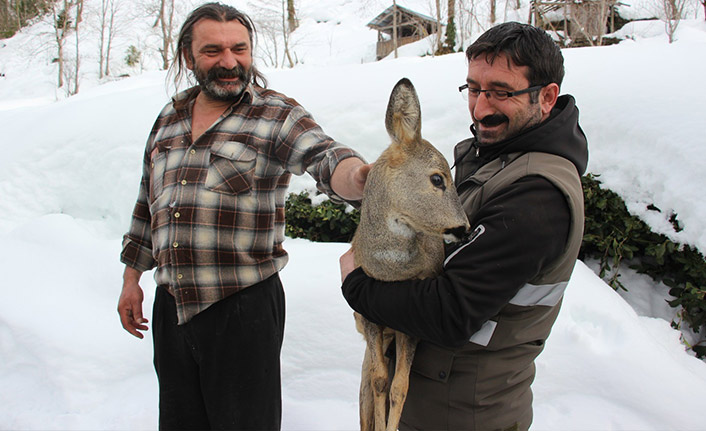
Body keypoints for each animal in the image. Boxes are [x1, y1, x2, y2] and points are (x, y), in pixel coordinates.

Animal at [350, 78, 468, 431]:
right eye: (437, 178)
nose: (465, 228)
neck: (391, 272)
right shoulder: (369, 317)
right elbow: (379, 380)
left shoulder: (411, 320)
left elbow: (400, 386)